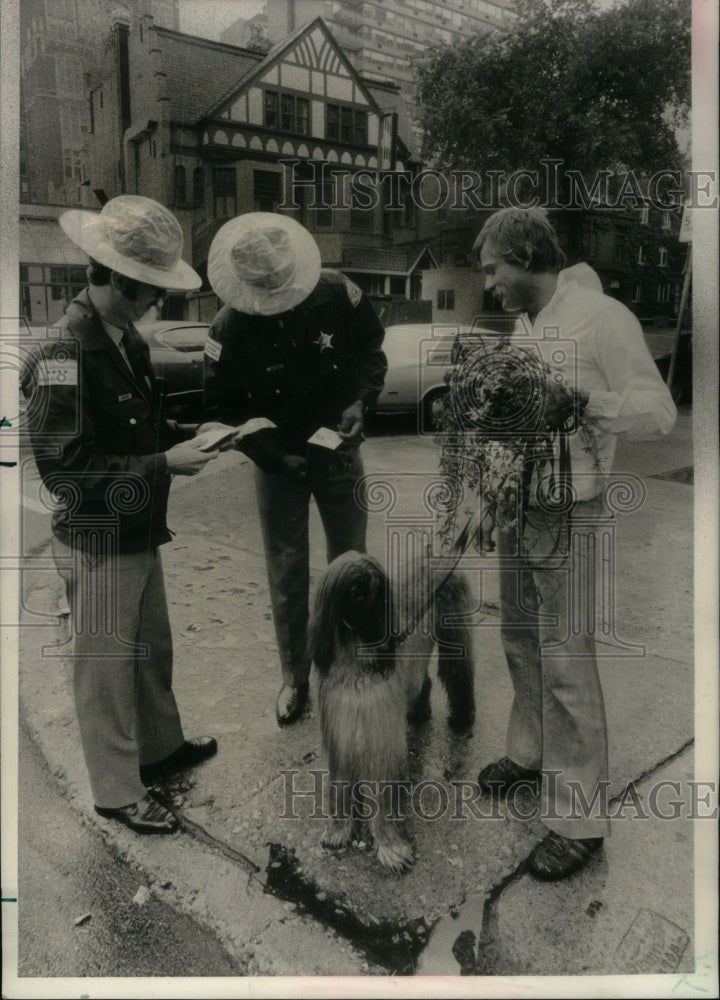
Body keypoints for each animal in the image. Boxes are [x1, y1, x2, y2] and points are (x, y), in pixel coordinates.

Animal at [308, 552, 472, 872]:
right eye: (352, 590)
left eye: (374, 588)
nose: (383, 634)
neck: (355, 654)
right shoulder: (340, 728)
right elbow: (341, 782)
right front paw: (339, 829)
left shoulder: (381, 732)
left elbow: (384, 792)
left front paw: (390, 846)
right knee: (423, 681)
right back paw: (419, 710)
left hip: (453, 631)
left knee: (458, 675)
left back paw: (462, 717)